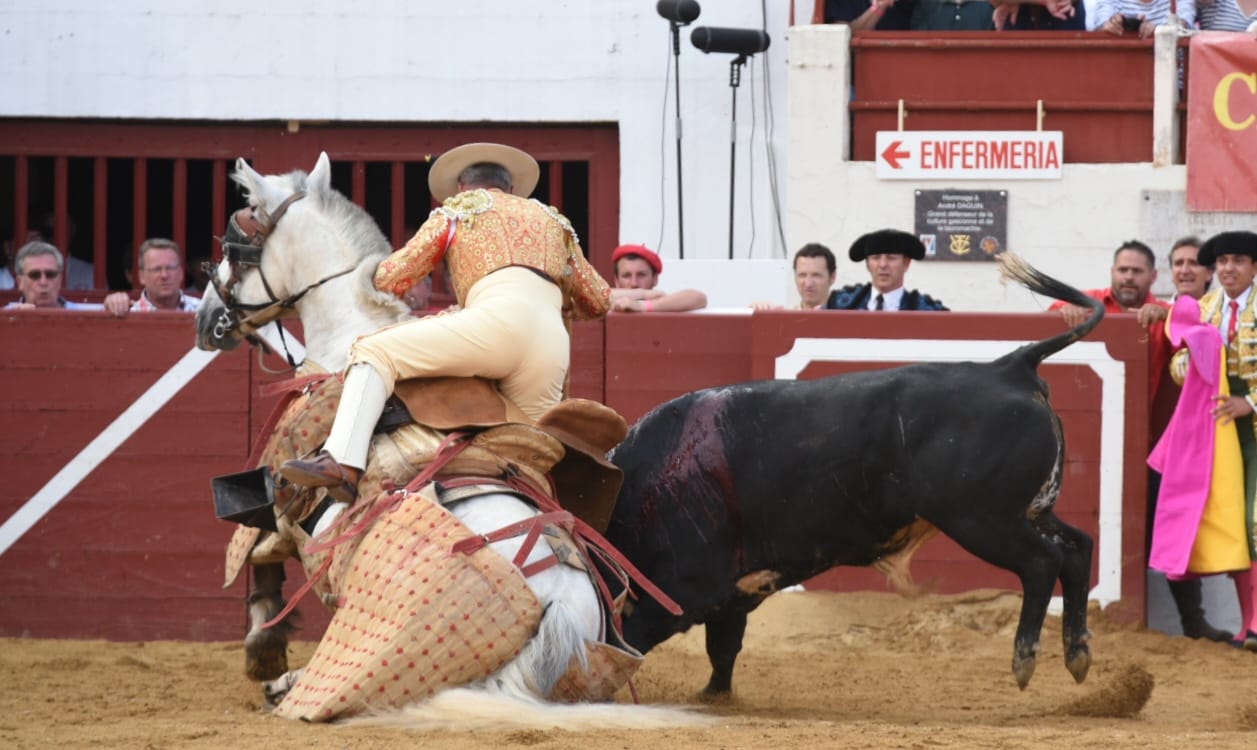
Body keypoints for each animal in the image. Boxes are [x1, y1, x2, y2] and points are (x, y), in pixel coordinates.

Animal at [194, 152, 694, 727]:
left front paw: (263, 649)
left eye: (234, 242)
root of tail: (563, 608)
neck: (345, 336)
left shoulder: (282, 494)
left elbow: (258, 548)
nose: (206, 320)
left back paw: (288, 682)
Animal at [603, 254, 1102, 695]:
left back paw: (1025, 659)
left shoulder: (685, 588)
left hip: (981, 519)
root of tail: (1011, 367)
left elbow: (632, 635)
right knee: (1078, 548)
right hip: (1028, 511)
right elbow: (721, 650)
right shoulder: (732, 595)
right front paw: (713, 696)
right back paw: (1077, 655)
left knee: (1041, 562)